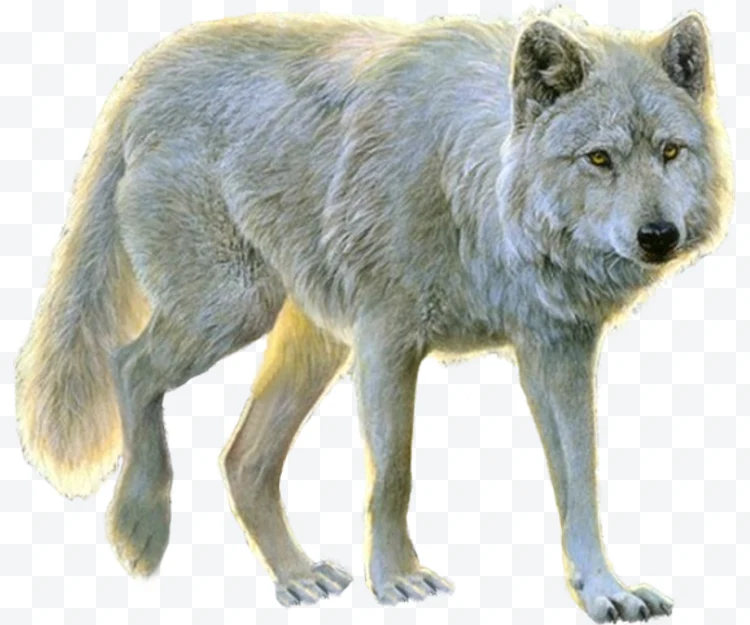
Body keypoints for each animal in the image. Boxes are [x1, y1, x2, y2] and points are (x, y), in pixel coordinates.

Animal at [15, 6, 732, 622]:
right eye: (599, 158)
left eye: (670, 152)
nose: (658, 236)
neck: (470, 190)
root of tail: (147, 73)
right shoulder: (388, 341)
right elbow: (394, 475)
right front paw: (396, 577)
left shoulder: (556, 349)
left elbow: (580, 479)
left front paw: (605, 590)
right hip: (231, 309)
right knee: (127, 364)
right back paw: (141, 527)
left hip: (310, 344)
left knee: (242, 459)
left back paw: (296, 575)